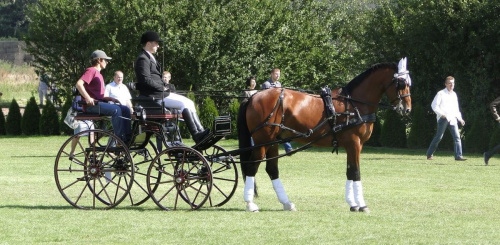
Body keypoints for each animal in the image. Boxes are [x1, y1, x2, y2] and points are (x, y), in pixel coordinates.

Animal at [236, 58, 412, 212]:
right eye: (401, 83)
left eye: (408, 83)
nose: (407, 109)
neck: (354, 104)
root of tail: (253, 97)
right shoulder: (354, 143)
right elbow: (356, 172)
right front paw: (362, 205)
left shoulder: (354, 145)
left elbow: (350, 171)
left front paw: (353, 204)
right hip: (262, 141)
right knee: (252, 167)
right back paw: (250, 204)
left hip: (272, 141)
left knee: (272, 170)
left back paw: (287, 203)